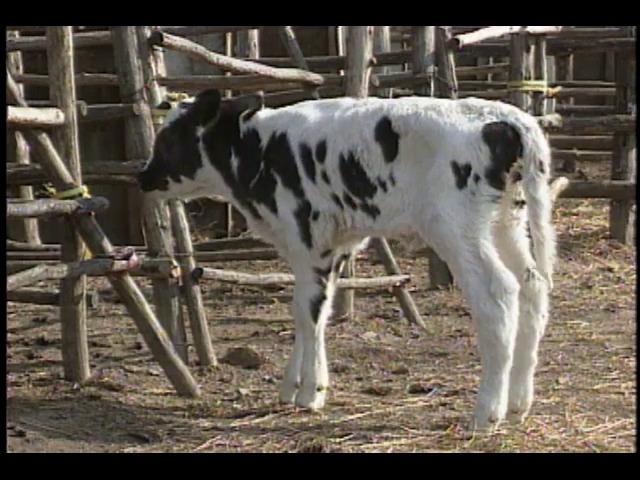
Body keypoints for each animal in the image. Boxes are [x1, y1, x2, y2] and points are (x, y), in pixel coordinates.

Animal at [139, 90, 556, 432]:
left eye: (168, 139)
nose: (143, 176)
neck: (258, 151)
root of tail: (501, 116)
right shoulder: (332, 248)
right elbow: (315, 312)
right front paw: (297, 386)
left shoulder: (306, 239)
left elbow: (305, 313)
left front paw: (308, 393)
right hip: (506, 222)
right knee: (532, 286)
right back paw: (519, 404)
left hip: (456, 228)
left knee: (497, 293)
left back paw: (486, 413)